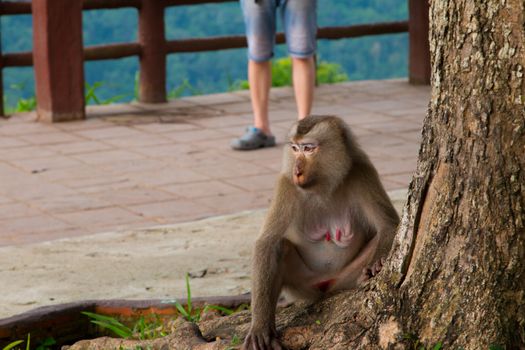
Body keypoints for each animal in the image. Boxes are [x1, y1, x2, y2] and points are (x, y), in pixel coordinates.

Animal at [244, 115, 400, 350]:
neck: (323, 184)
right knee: (281, 246)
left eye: (309, 149)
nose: (297, 170)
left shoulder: (361, 172)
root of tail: (325, 284)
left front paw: (376, 264)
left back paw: (362, 278)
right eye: (294, 148)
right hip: (303, 285)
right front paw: (261, 325)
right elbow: (267, 243)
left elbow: (388, 224)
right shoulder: (286, 184)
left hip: (341, 278)